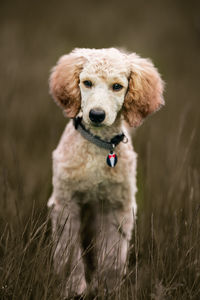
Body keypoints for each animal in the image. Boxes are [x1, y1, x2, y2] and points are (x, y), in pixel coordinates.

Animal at [47, 47, 164, 298]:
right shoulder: (66, 202)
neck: (98, 146)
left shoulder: (118, 206)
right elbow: (68, 252)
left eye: (117, 86)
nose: (97, 115)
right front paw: (74, 288)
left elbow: (113, 255)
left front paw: (109, 289)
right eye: (87, 83)